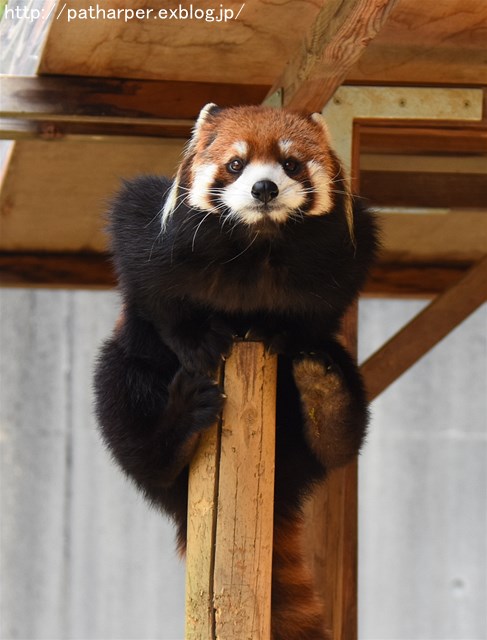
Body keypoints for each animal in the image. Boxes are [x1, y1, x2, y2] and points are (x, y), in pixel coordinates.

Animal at [94, 102, 378, 636]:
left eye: (291, 164)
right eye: (235, 164)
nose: (264, 188)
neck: (256, 241)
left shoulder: (346, 247)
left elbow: (321, 311)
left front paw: (279, 332)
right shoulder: (152, 228)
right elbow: (150, 288)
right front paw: (195, 337)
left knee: (340, 436)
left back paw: (325, 398)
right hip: (130, 370)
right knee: (126, 412)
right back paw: (176, 428)